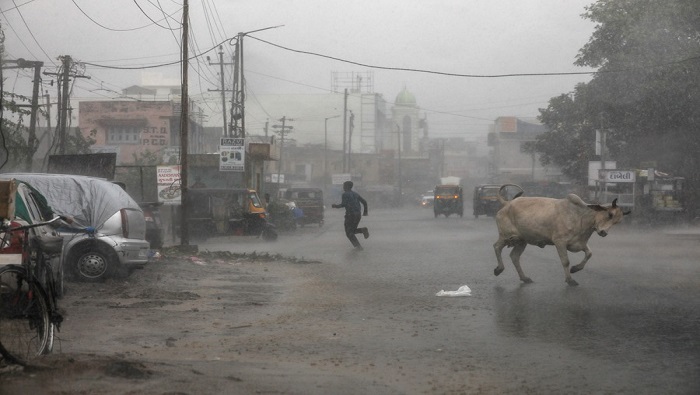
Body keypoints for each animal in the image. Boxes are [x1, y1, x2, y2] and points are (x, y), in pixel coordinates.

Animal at [492, 184, 628, 286]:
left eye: (617, 222)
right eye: (609, 214)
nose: (604, 233)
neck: (580, 216)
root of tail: (507, 203)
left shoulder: (579, 243)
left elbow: (589, 253)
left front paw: (575, 268)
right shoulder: (560, 242)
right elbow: (565, 261)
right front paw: (570, 280)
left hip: (522, 241)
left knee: (514, 256)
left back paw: (524, 278)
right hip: (505, 236)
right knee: (497, 247)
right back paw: (499, 269)